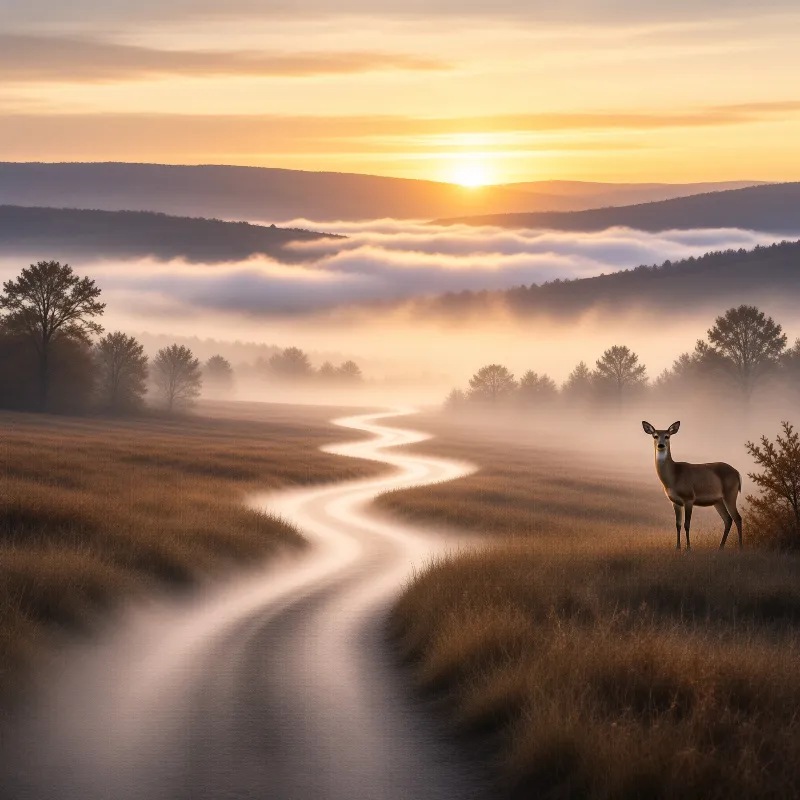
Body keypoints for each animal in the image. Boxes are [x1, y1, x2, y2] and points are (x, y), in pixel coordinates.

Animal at [641, 421, 742, 550]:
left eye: (667, 436)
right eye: (655, 436)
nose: (661, 445)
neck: (674, 476)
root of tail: (737, 473)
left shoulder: (689, 497)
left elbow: (687, 524)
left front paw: (688, 548)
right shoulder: (675, 501)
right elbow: (678, 524)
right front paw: (678, 547)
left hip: (730, 493)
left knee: (737, 518)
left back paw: (740, 547)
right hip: (718, 501)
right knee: (728, 519)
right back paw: (720, 547)